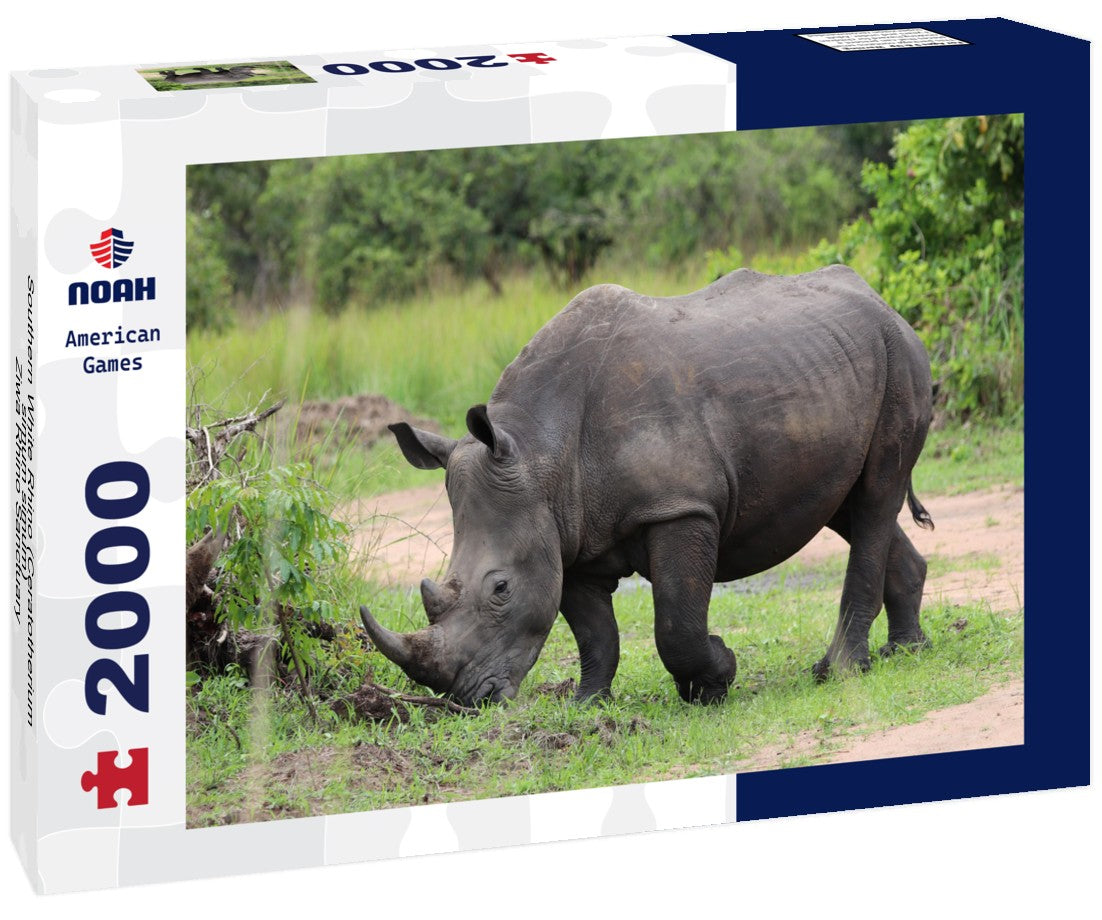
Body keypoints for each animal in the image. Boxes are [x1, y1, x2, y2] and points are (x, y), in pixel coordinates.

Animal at [360, 265, 934, 706]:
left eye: (501, 588)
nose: (469, 700)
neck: (539, 450)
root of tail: (883, 303)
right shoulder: (568, 533)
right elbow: (596, 634)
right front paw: (588, 704)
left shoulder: (680, 506)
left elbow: (676, 623)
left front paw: (715, 679)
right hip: (829, 370)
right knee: (848, 508)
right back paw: (906, 651)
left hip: (901, 361)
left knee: (876, 494)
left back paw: (840, 671)